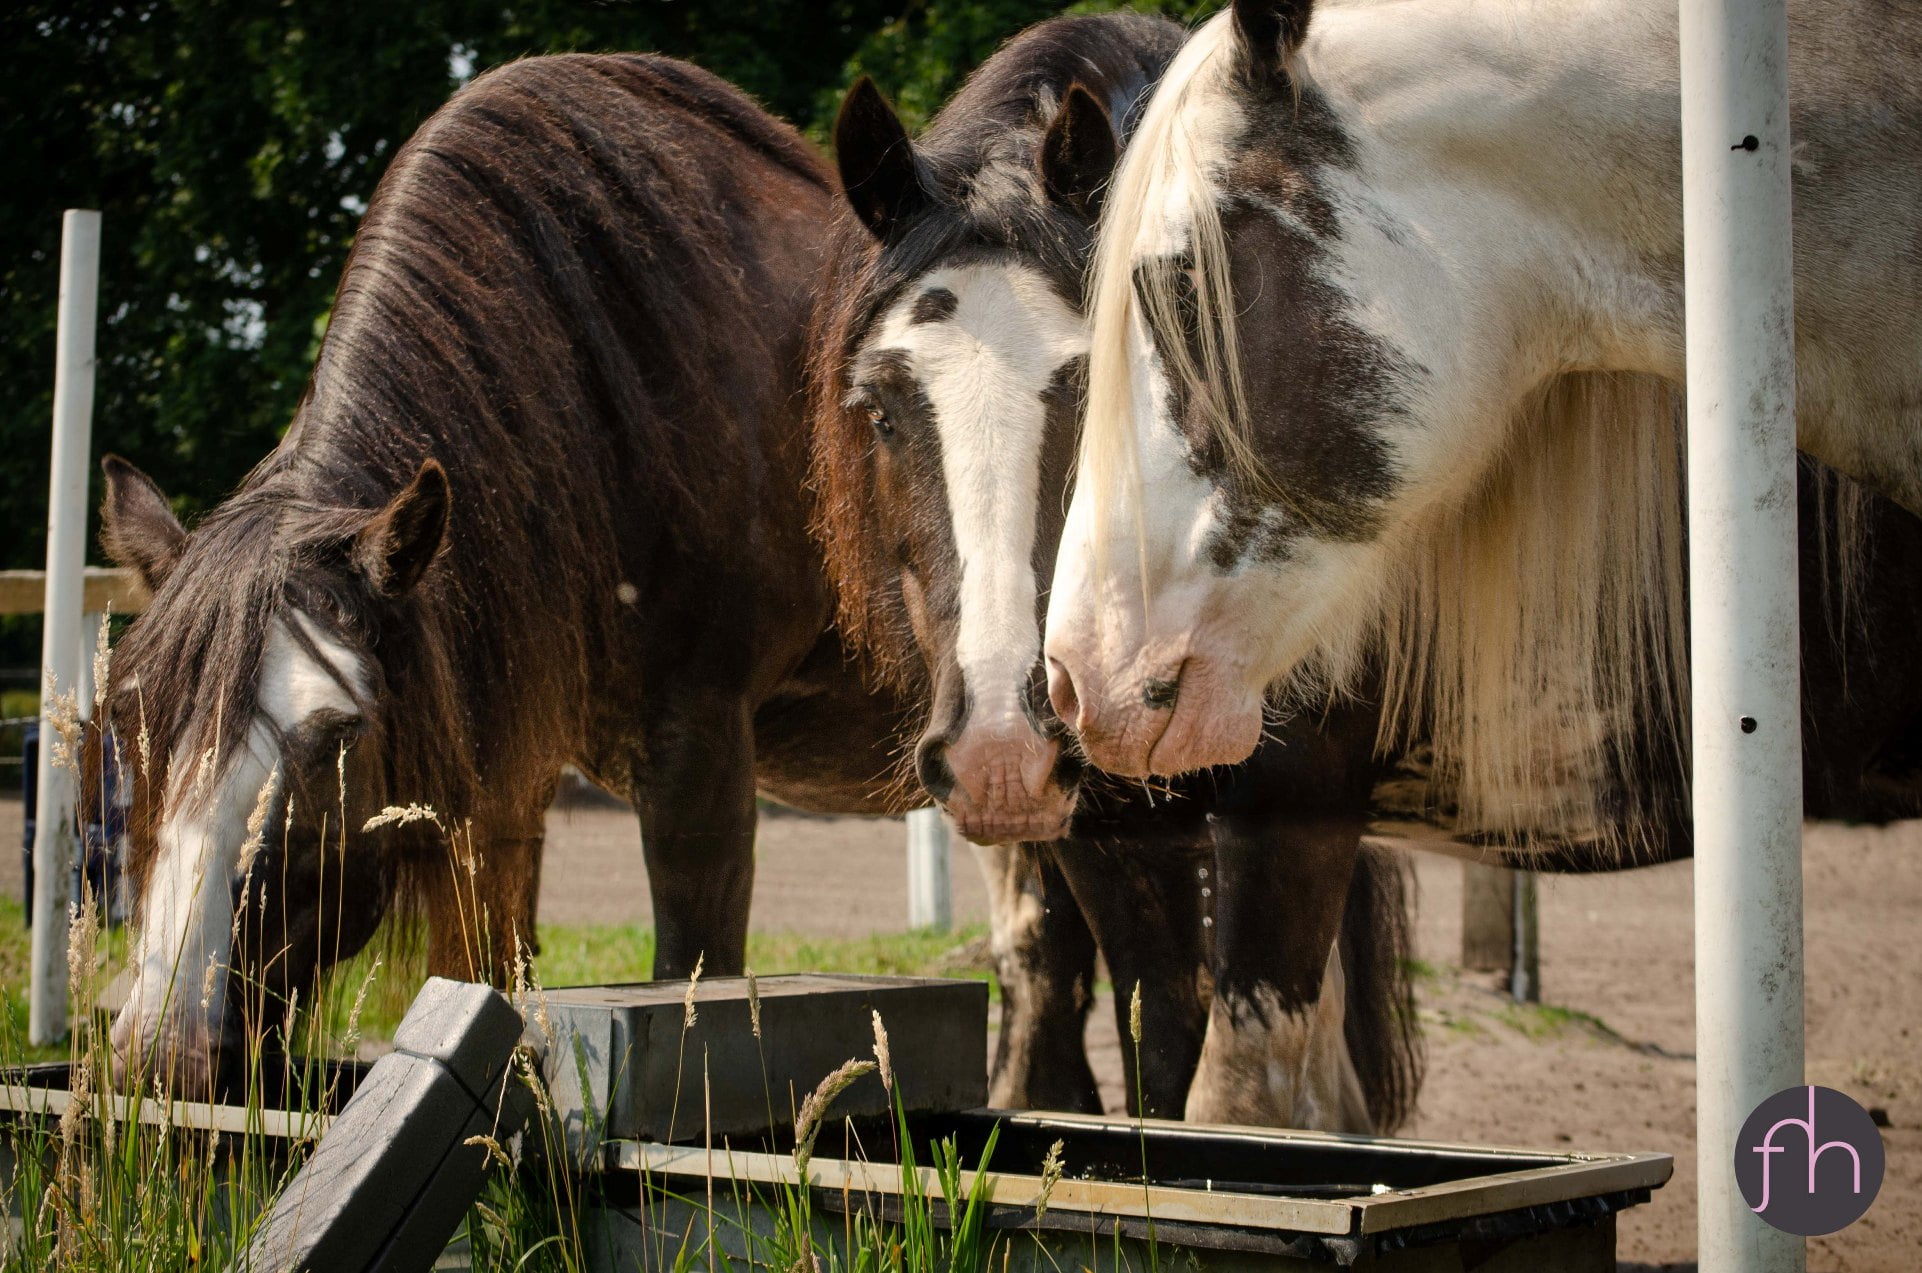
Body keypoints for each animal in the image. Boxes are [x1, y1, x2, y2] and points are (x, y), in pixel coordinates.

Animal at [92, 53, 920, 1095]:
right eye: (128, 721)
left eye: (334, 737)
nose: (167, 1050)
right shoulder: (498, 791)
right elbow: (483, 985)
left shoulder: (701, 753)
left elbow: (696, 974)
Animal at [810, 11, 1422, 1131]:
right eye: (877, 409)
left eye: (1106, 388)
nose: (1001, 749)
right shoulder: (1101, 836)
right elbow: (1152, 1038)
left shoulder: (1298, 807)